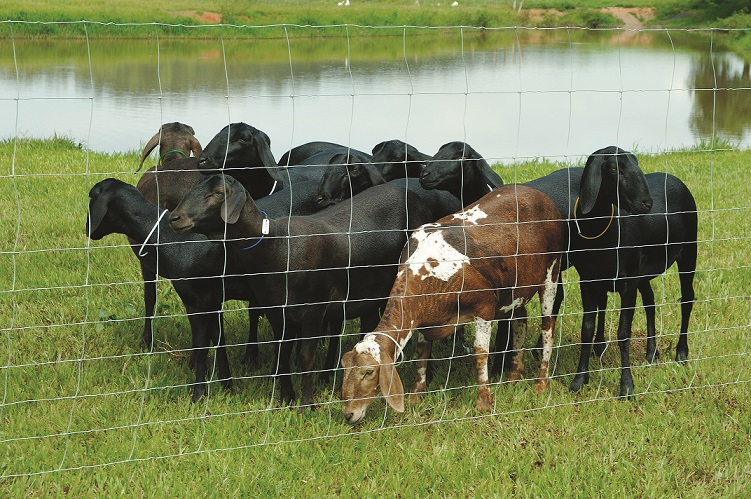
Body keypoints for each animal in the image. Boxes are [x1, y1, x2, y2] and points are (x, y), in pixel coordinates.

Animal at [87, 180, 247, 402]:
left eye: (91, 198)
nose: (87, 230)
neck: (166, 236)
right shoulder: (209, 299)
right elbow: (217, 339)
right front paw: (226, 385)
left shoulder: (204, 298)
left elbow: (203, 346)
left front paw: (198, 394)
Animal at [167, 176, 432, 410]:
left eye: (217, 193)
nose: (174, 218)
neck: (277, 247)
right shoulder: (277, 313)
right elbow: (283, 355)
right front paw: (286, 398)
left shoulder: (313, 311)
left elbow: (305, 358)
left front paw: (307, 405)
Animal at [340, 186, 564, 424]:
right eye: (344, 368)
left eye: (368, 372)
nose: (348, 414)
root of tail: (536, 192)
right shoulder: (425, 320)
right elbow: (422, 351)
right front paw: (416, 395)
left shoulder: (485, 306)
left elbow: (480, 352)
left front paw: (484, 402)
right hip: (517, 286)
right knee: (521, 318)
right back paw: (514, 376)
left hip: (552, 270)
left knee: (548, 327)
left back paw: (541, 383)